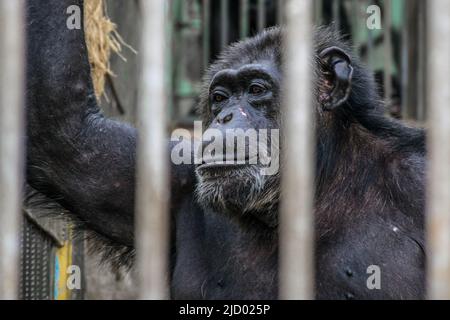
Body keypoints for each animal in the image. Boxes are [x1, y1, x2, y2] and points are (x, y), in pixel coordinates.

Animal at [24, 0, 426, 300]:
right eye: (220, 97)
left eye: (256, 89)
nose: (226, 116)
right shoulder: (170, 177)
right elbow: (65, 137)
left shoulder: (420, 182)